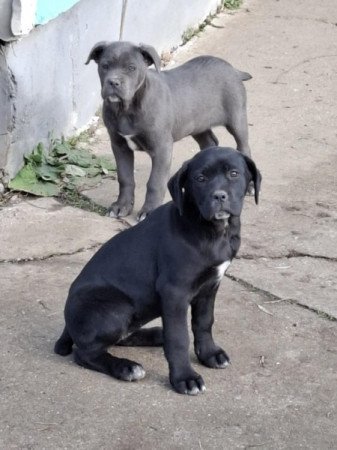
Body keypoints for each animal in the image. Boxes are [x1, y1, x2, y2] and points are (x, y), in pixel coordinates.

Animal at [54, 148, 260, 394]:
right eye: (200, 178)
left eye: (234, 174)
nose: (219, 196)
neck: (212, 230)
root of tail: (68, 322)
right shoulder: (175, 291)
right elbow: (179, 337)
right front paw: (185, 377)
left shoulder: (210, 286)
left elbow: (204, 322)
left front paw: (210, 354)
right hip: (116, 308)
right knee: (85, 352)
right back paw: (126, 368)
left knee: (119, 337)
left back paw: (155, 334)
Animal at [85, 40, 251, 220]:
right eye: (104, 66)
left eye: (131, 68)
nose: (114, 82)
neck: (126, 108)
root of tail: (233, 70)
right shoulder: (119, 146)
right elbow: (125, 178)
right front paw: (121, 206)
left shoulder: (161, 148)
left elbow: (155, 182)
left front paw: (149, 210)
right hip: (197, 125)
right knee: (209, 142)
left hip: (236, 118)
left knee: (243, 146)